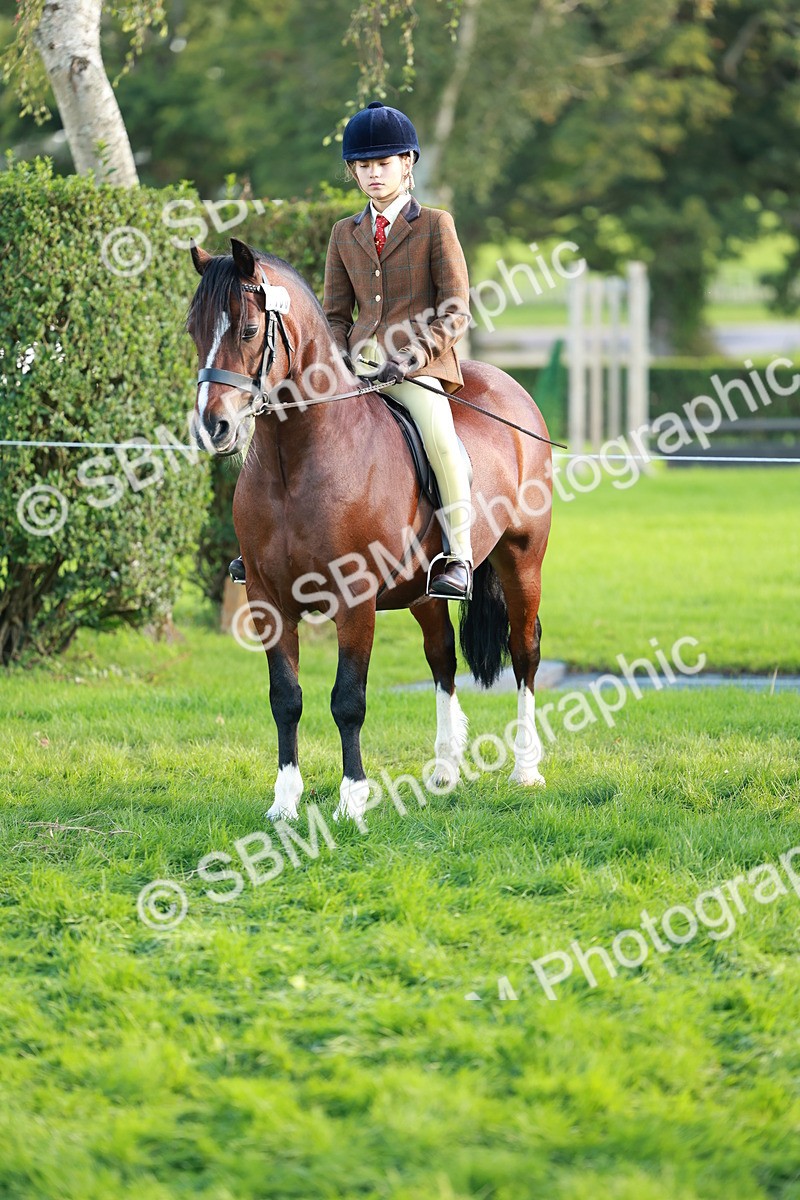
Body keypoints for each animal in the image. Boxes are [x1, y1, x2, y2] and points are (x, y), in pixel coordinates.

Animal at [187, 237, 552, 823]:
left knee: (524, 652)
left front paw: (352, 799)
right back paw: (445, 770)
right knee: (442, 657)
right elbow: (285, 699)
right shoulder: (267, 599)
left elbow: (348, 700)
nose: (212, 427)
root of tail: (509, 386)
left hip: (523, 560)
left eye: (247, 330)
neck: (296, 462)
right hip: (425, 591)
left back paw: (525, 769)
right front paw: (284, 803)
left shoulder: (353, 599)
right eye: (194, 331)